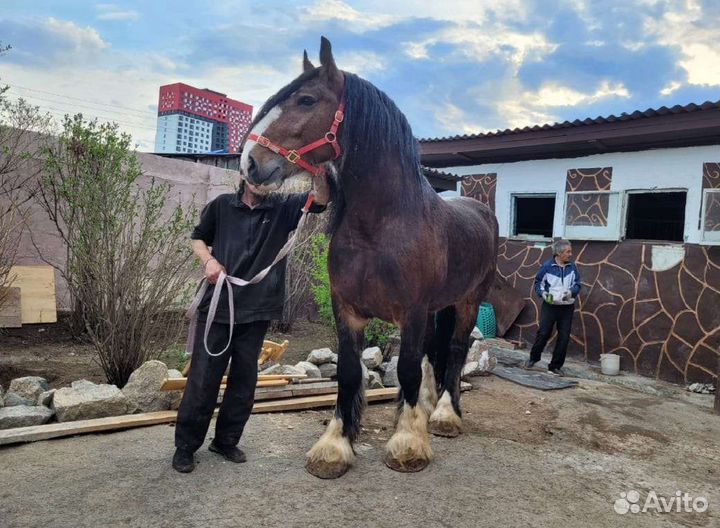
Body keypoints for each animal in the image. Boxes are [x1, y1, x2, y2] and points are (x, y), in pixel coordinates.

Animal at [240, 37, 498, 478]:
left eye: (306, 99)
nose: (250, 162)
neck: (381, 227)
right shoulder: (347, 310)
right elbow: (348, 372)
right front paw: (335, 446)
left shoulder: (412, 312)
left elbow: (406, 368)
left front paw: (408, 443)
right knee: (434, 353)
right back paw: (428, 407)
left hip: (468, 301)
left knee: (455, 350)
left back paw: (445, 415)